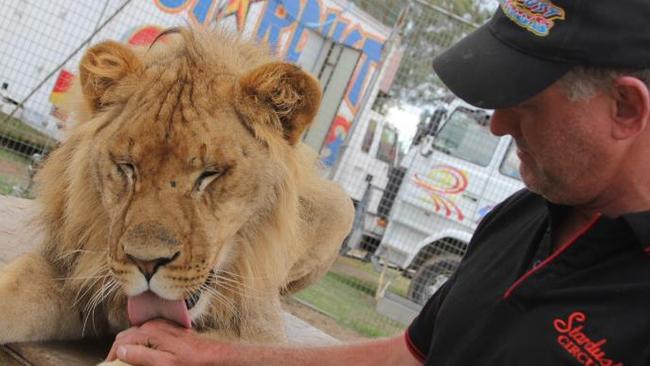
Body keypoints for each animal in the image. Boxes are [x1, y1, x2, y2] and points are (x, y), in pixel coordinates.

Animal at [0, 26, 352, 364]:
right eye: (127, 167)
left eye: (209, 174)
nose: (145, 263)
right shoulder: (64, 271)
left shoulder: (261, 335)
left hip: (342, 208)